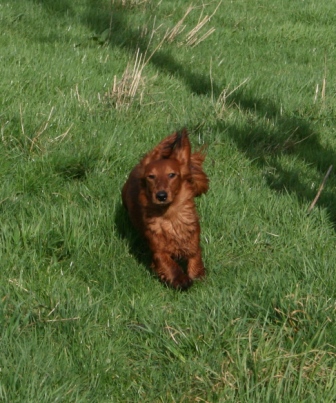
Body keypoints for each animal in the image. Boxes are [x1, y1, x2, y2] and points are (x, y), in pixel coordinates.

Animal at [122, 129, 209, 290]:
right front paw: (180, 279)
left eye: (171, 174)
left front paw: (197, 275)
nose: (161, 195)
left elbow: (195, 257)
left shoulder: (193, 241)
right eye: (151, 176)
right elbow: (169, 264)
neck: (170, 215)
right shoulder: (158, 251)